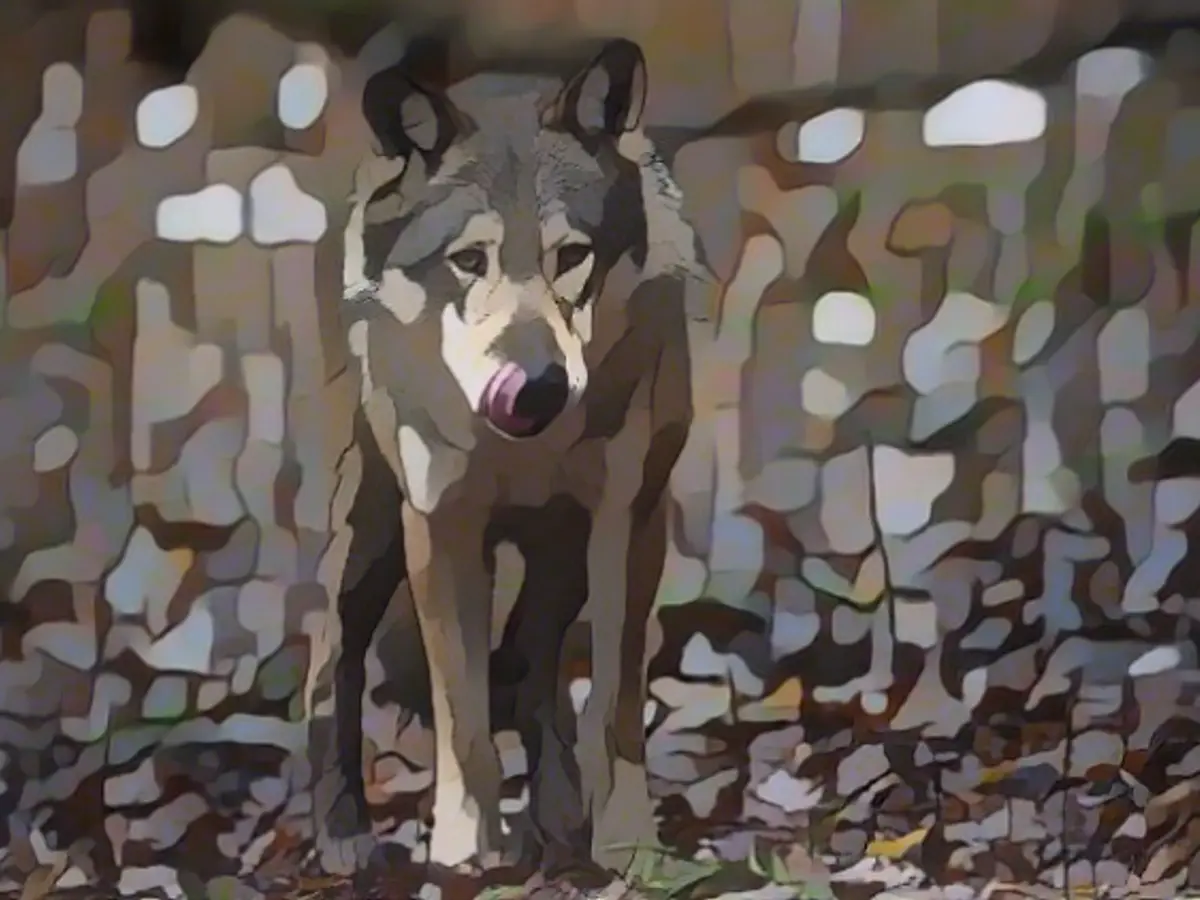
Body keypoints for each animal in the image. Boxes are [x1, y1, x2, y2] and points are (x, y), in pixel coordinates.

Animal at [315, 31, 711, 887]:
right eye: (470, 260)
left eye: (573, 255)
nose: (535, 388)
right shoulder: (441, 526)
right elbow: (461, 711)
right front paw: (467, 849)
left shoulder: (628, 520)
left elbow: (613, 704)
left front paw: (626, 842)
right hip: (367, 542)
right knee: (330, 664)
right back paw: (342, 832)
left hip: (560, 557)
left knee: (535, 667)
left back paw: (559, 815)